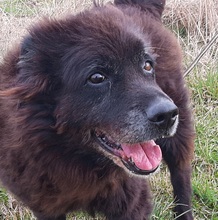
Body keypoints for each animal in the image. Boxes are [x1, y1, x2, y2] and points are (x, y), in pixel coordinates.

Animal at [0, 0, 194, 220]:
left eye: (147, 65)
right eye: (97, 77)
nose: (167, 114)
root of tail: (136, 7)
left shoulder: (133, 203)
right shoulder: (46, 207)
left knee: (181, 173)